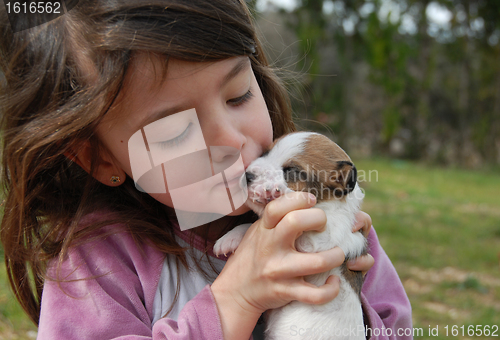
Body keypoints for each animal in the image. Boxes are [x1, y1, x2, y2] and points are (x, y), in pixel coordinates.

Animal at [213, 131, 366, 338]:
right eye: (266, 152)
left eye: (291, 170)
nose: (247, 176)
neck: (328, 204)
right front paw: (229, 238)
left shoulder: (320, 240)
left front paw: (273, 192)